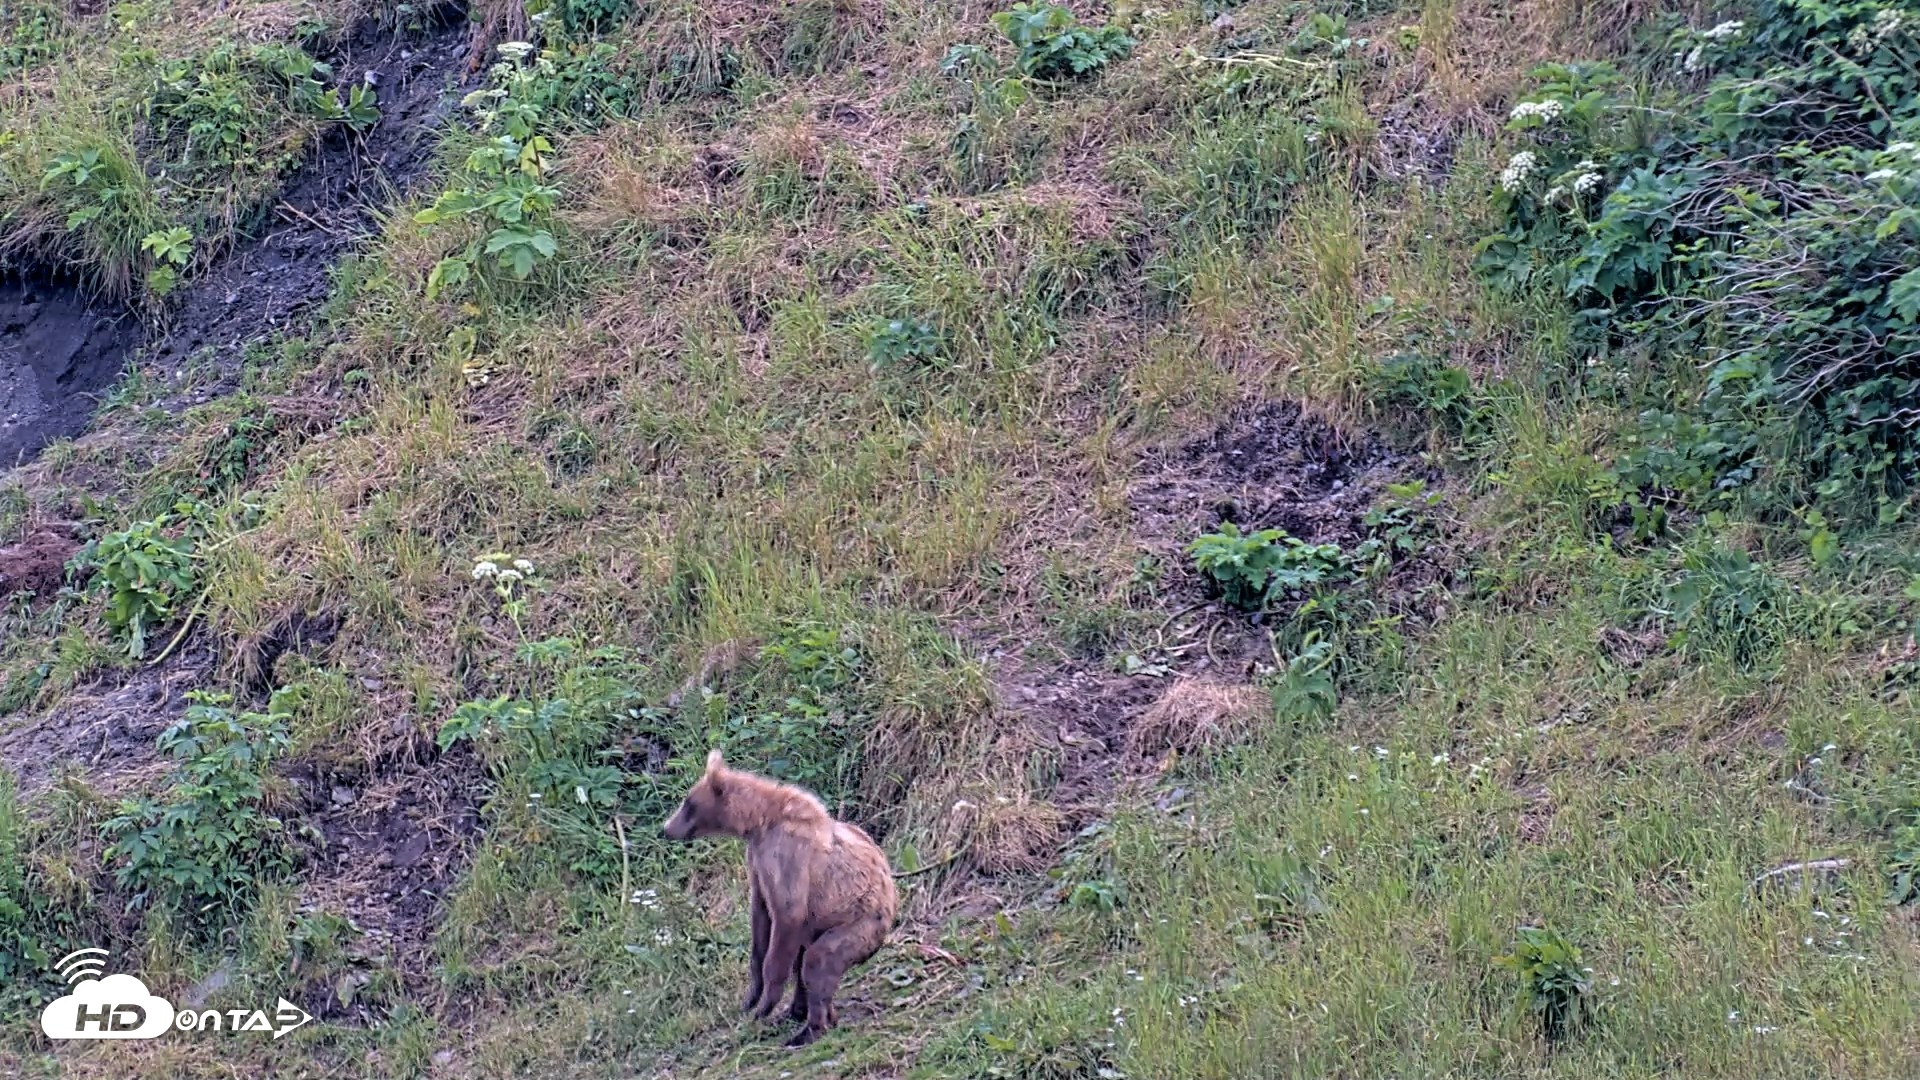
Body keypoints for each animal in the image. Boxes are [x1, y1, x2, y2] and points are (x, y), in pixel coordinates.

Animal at [662, 750, 897, 1047]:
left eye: (688, 802)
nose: (665, 828)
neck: (760, 823)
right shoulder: (757, 861)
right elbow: (760, 922)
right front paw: (751, 998)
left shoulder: (788, 855)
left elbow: (786, 916)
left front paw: (763, 1008)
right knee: (804, 961)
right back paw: (805, 1013)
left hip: (860, 923)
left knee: (818, 960)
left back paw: (809, 1029)